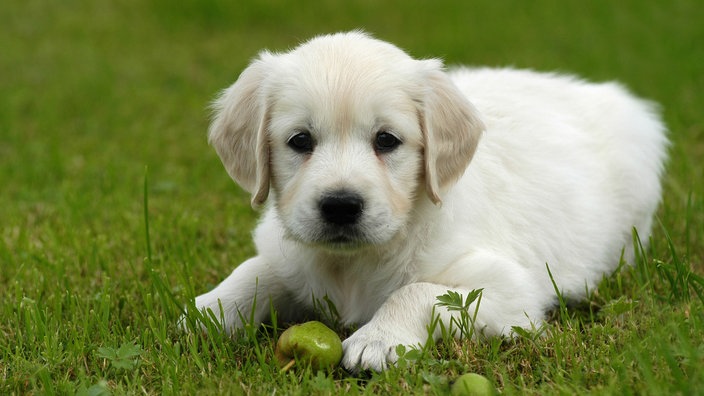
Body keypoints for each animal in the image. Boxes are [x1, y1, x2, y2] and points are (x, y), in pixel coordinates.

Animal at [191, 30, 664, 372]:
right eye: (300, 141)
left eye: (386, 140)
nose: (340, 205)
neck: (354, 264)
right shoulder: (287, 254)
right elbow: (255, 270)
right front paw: (207, 310)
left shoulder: (511, 289)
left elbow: (418, 290)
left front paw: (377, 339)